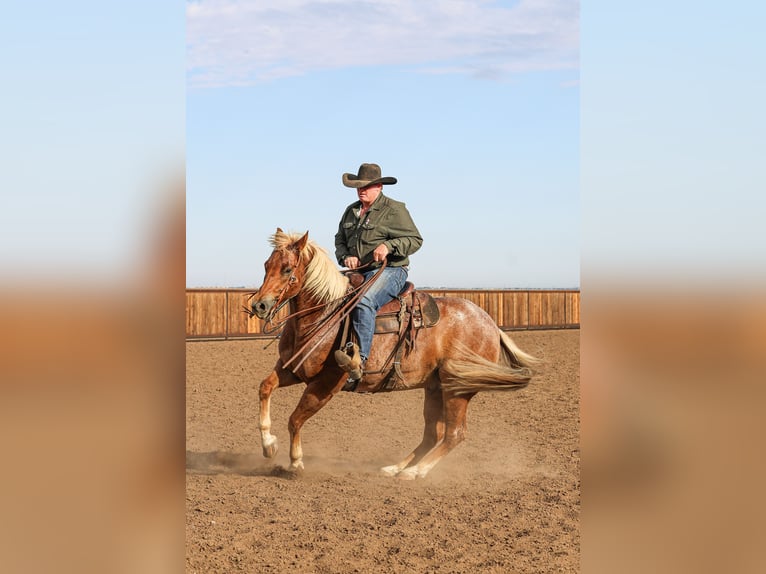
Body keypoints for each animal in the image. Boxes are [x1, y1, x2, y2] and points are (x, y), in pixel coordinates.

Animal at [249, 228, 538, 480]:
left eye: (287, 269)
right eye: (265, 265)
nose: (259, 305)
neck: (323, 315)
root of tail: (491, 325)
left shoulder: (327, 383)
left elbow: (295, 419)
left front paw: (295, 462)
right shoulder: (292, 370)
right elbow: (265, 388)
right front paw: (268, 445)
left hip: (457, 389)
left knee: (454, 434)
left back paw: (415, 472)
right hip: (435, 387)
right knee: (432, 434)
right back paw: (396, 468)